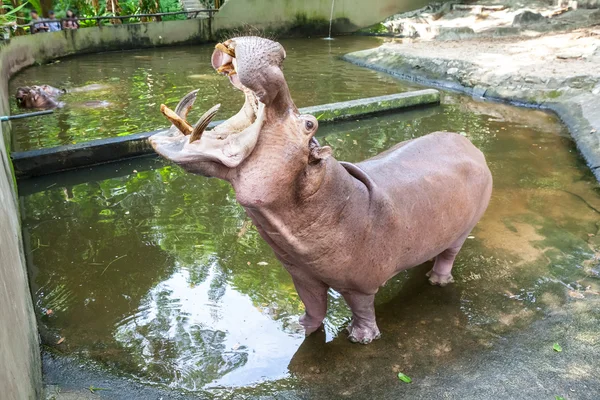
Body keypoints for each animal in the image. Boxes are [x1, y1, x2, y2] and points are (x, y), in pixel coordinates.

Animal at [149, 36, 492, 344]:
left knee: (448, 255)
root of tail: (470, 144)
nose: (280, 52)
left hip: (463, 231)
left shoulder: (359, 284)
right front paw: (301, 328)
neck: (327, 197)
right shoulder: (301, 274)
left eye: (310, 124)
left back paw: (437, 281)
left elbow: (362, 308)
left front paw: (361, 338)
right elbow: (313, 303)